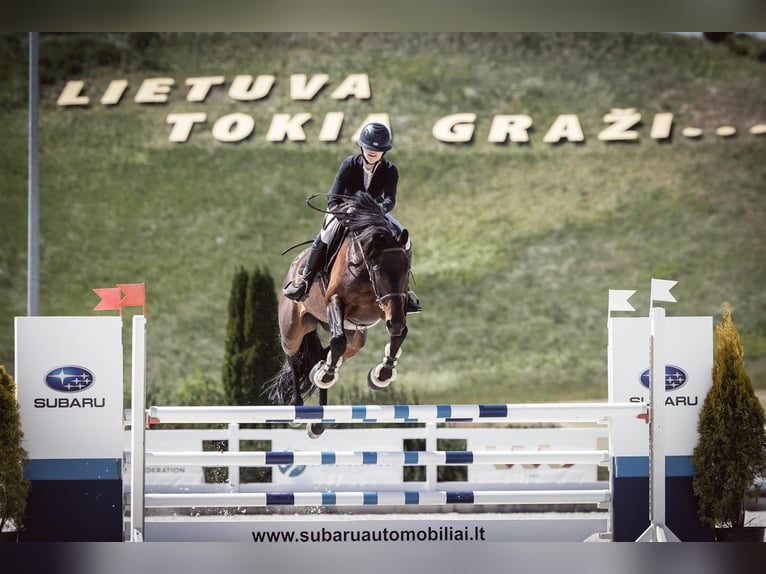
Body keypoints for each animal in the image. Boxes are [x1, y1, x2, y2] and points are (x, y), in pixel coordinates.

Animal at [268, 191, 414, 438]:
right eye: (378, 270)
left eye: (406, 268)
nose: (393, 321)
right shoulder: (335, 300)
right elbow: (337, 341)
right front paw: (326, 374)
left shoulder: (392, 305)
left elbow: (399, 334)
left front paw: (381, 375)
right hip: (293, 330)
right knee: (295, 356)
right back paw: (299, 407)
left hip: (356, 337)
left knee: (333, 352)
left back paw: (318, 395)